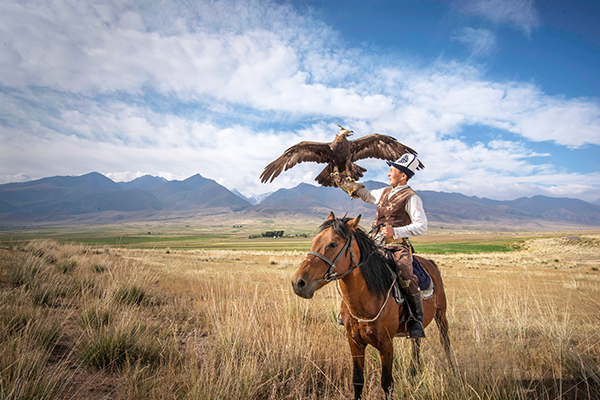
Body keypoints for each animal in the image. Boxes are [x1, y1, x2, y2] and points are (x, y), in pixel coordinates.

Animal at [291, 212, 453, 399]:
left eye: (333, 244)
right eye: (314, 241)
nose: (298, 282)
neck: (365, 302)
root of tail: (430, 263)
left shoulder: (386, 344)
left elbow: (387, 384)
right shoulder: (354, 341)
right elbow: (357, 380)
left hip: (441, 315)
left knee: (445, 341)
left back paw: (452, 371)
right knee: (416, 342)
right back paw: (414, 371)